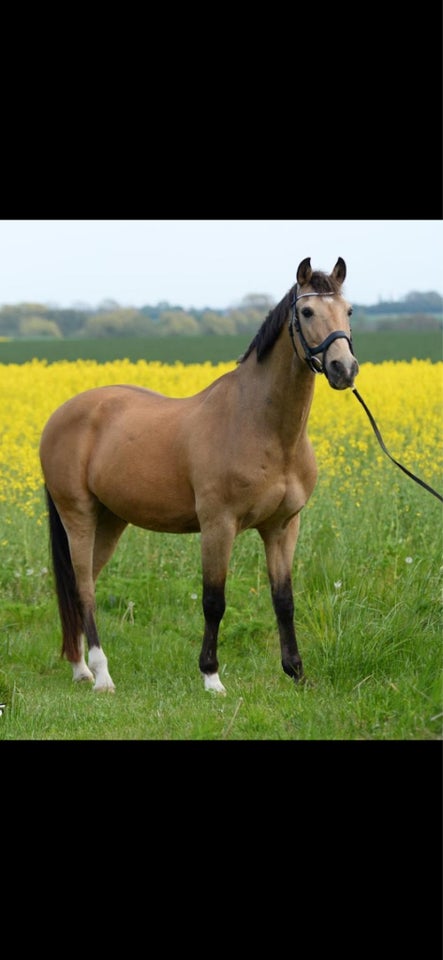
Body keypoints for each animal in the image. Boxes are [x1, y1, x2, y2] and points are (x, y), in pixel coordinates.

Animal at [37, 255, 358, 692]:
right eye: (307, 312)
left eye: (349, 311)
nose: (344, 369)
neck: (261, 426)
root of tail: (59, 416)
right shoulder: (218, 525)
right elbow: (213, 601)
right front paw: (211, 677)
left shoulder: (282, 526)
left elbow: (284, 599)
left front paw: (296, 672)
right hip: (79, 516)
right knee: (84, 588)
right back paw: (102, 675)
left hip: (110, 520)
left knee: (76, 586)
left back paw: (79, 668)